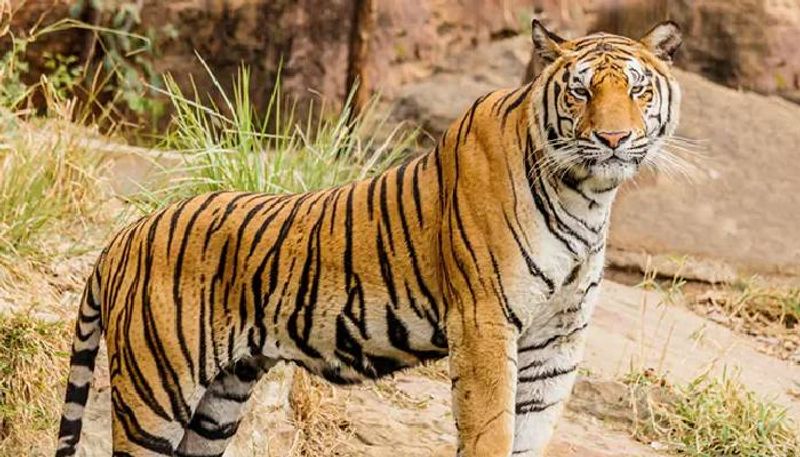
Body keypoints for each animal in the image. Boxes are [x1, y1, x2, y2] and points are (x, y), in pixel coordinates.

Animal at [56, 18, 680, 456]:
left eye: (638, 91)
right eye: (580, 92)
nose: (614, 139)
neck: (587, 196)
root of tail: (125, 235)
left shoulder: (557, 341)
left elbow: (532, 433)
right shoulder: (483, 321)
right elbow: (492, 431)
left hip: (220, 399)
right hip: (156, 390)